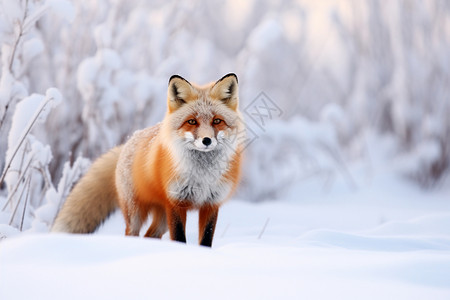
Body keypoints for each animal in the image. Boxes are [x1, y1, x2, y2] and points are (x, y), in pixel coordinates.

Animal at [52, 73, 246, 246]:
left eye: (217, 121)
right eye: (192, 121)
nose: (207, 140)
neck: (202, 176)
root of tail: (129, 140)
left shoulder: (211, 204)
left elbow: (205, 240)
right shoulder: (175, 203)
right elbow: (179, 238)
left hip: (162, 218)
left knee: (149, 235)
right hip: (136, 213)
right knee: (132, 233)